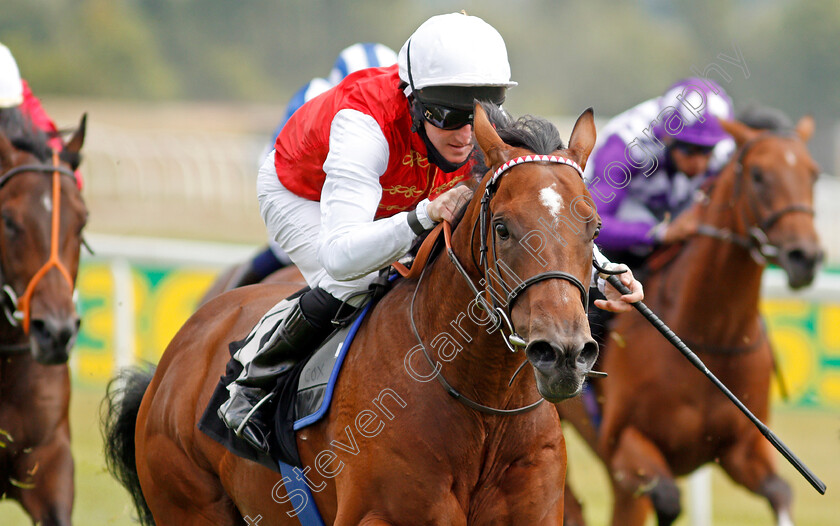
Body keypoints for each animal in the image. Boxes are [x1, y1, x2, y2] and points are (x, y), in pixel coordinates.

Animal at [103, 105, 604, 524]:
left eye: (594, 227)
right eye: (502, 228)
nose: (563, 353)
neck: (486, 406)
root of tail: (176, 356)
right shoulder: (385, 516)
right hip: (188, 502)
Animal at [556, 112, 820, 526]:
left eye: (813, 174)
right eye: (758, 174)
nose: (804, 257)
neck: (711, 336)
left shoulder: (742, 448)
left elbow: (781, 491)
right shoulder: (625, 445)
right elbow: (667, 500)